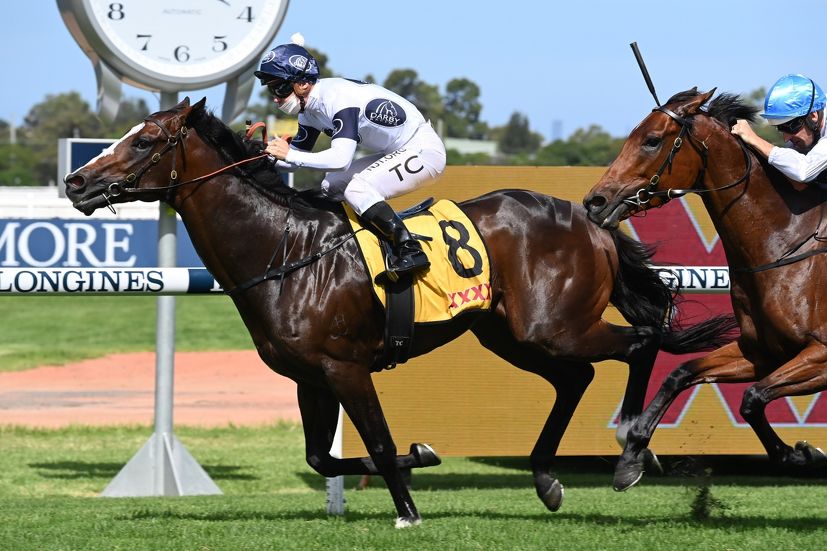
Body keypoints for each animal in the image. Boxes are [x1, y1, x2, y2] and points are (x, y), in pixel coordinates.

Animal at [64, 97, 736, 528]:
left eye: (145, 140)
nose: (75, 182)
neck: (287, 251)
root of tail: (590, 217)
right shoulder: (311, 377)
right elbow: (321, 456)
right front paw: (424, 458)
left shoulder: (345, 369)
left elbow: (382, 445)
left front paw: (408, 511)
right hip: (513, 336)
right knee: (577, 378)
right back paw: (547, 477)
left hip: (553, 328)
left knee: (640, 341)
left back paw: (630, 451)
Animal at [584, 89, 827, 492]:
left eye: (652, 140)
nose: (595, 202)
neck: (785, 244)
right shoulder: (761, 352)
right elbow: (681, 375)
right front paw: (631, 458)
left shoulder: (820, 354)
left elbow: (752, 397)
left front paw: (805, 455)